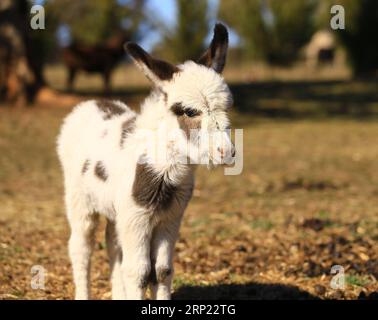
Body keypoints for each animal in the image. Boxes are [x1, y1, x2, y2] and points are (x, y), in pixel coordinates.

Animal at [56, 23, 235, 300]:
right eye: (188, 111)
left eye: (227, 108)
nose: (226, 152)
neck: (162, 173)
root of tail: (89, 103)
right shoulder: (137, 219)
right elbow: (139, 272)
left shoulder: (169, 218)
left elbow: (161, 270)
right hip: (80, 200)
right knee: (81, 248)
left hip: (115, 210)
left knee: (112, 244)